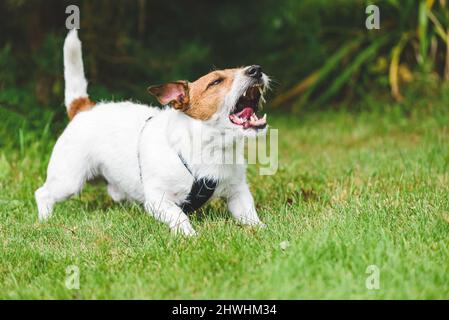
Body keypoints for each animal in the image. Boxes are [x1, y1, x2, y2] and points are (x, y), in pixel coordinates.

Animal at [34, 29, 270, 235]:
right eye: (216, 82)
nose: (256, 69)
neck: (211, 148)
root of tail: (84, 107)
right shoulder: (159, 200)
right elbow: (179, 215)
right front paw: (189, 235)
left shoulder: (238, 192)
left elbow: (249, 215)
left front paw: (263, 231)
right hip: (68, 180)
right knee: (42, 193)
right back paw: (45, 219)